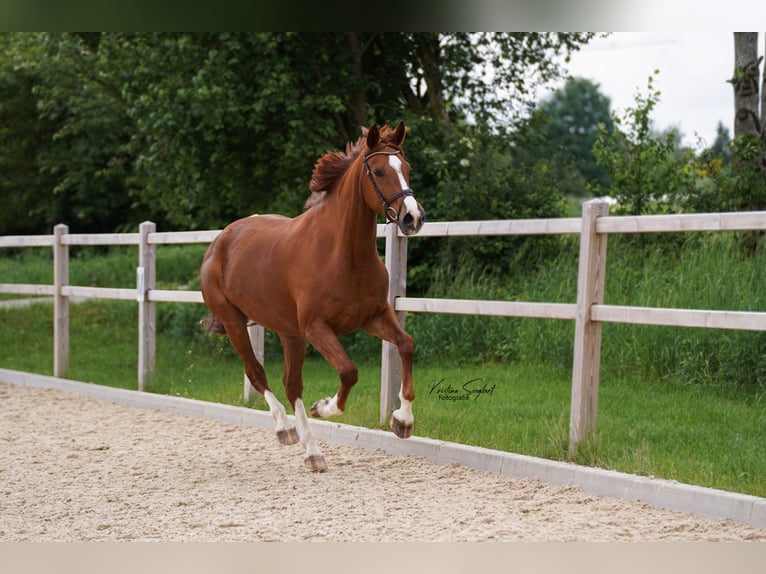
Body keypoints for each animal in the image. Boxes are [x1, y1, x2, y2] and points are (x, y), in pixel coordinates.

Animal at [200, 121, 426, 472]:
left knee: (291, 384)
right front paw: (325, 406)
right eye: (377, 171)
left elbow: (406, 345)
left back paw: (312, 452)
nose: (412, 218)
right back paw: (288, 431)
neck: (343, 255)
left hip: (288, 332)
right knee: (257, 373)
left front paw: (402, 421)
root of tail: (221, 240)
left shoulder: (374, 316)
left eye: (407, 168)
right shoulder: (317, 328)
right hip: (235, 322)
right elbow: (349, 371)